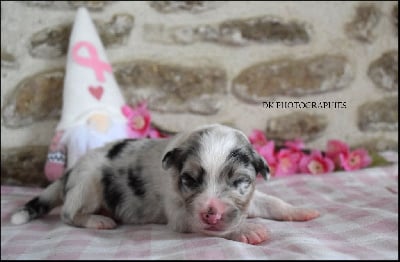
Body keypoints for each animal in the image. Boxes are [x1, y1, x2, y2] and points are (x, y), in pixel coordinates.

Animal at [10, 124, 318, 245]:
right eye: (190, 180)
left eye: (239, 181)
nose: (211, 213)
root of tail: (70, 171)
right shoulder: (183, 214)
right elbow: (215, 228)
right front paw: (247, 230)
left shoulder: (247, 198)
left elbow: (272, 202)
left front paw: (300, 211)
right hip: (89, 183)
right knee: (68, 214)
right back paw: (98, 220)